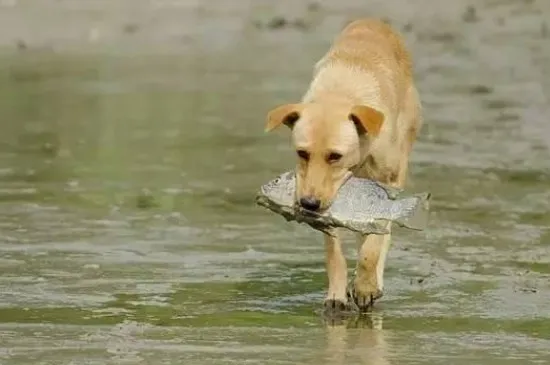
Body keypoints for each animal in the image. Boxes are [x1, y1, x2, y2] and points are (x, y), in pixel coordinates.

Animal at [266, 17, 424, 312]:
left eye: (334, 156)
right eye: (302, 153)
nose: (308, 204)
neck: (340, 93)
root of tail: (374, 21)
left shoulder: (386, 185)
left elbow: (373, 245)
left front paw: (365, 286)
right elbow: (334, 253)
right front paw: (337, 295)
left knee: (383, 236)